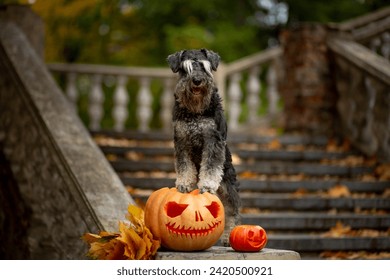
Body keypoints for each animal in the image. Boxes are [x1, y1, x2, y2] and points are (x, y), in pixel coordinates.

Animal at [166, 48, 239, 245]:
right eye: (185, 69)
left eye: (205, 67)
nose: (197, 81)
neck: (195, 111)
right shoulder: (182, 141)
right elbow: (184, 166)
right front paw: (184, 184)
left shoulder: (212, 141)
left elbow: (211, 166)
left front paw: (206, 185)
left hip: (228, 186)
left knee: (231, 211)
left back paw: (229, 236)